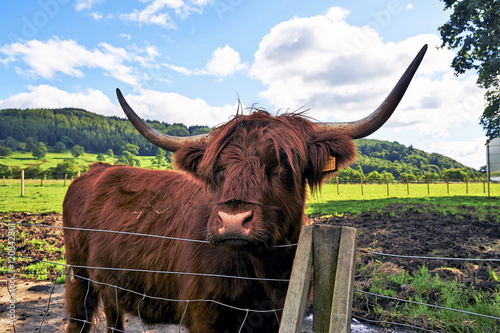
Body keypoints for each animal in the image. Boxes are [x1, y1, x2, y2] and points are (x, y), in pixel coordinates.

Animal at [63, 44, 426, 332]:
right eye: (218, 169)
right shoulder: (203, 316)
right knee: (78, 319)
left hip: (110, 284)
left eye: (282, 163)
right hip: (78, 276)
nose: (233, 221)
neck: (266, 276)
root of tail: (95, 170)